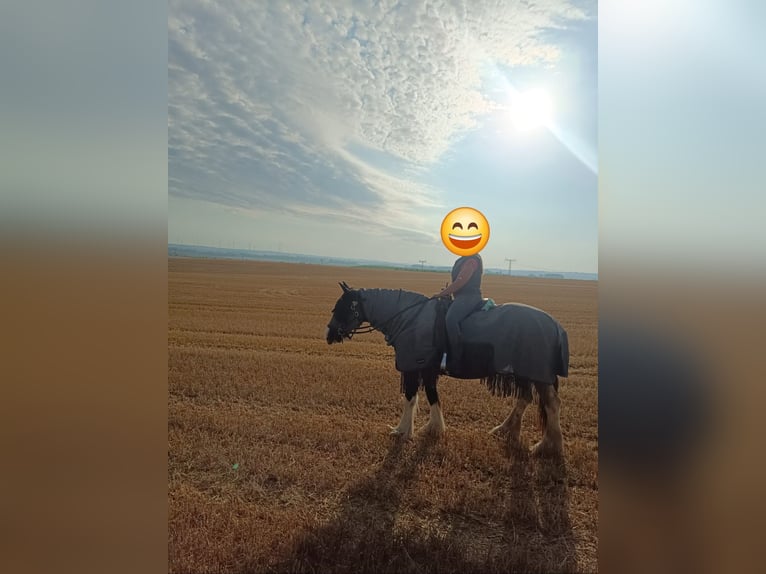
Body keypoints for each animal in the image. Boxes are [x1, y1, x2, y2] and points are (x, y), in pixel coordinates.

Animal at [325, 282, 569, 455]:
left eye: (343, 307)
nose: (329, 334)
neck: (411, 319)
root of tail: (556, 326)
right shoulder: (427, 370)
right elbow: (432, 396)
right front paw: (433, 427)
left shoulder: (414, 368)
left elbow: (411, 398)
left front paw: (403, 431)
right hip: (525, 373)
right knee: (525, 399)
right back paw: (506, 430)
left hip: (539, 376)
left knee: (551, 404)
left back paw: (547, 446)